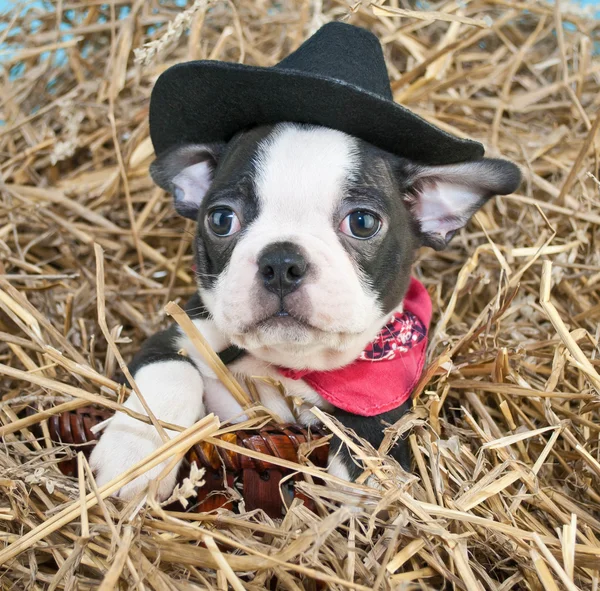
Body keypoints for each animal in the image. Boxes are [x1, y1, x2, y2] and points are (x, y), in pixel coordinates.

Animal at [90, 122, 520, 502]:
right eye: (221, 219)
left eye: (363, 222)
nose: (281, 261)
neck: (290, 364)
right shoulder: (181, 332)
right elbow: (172, 371)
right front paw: (136, 457)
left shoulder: (386, 385)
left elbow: (378, 425)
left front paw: (363, 488)